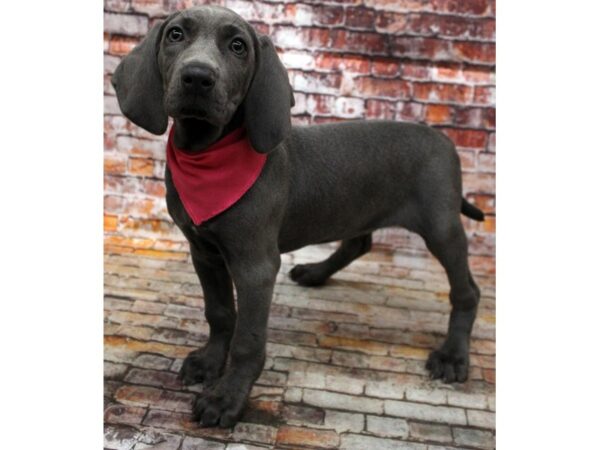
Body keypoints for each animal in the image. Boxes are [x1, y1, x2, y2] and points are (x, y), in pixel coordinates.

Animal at [112, 5, 486, 428]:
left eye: (238, 46)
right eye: (175, 34)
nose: (197, 76)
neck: (206, 156)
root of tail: (446, 142)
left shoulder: (256, 266)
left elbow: (247, 340)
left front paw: (227, 398)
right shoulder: (204, 251)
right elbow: (220, 312)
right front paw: (209, 362)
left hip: (441, 225)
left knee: (466, 290)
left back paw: (453, 356)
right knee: (359, 242)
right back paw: (315, 272)